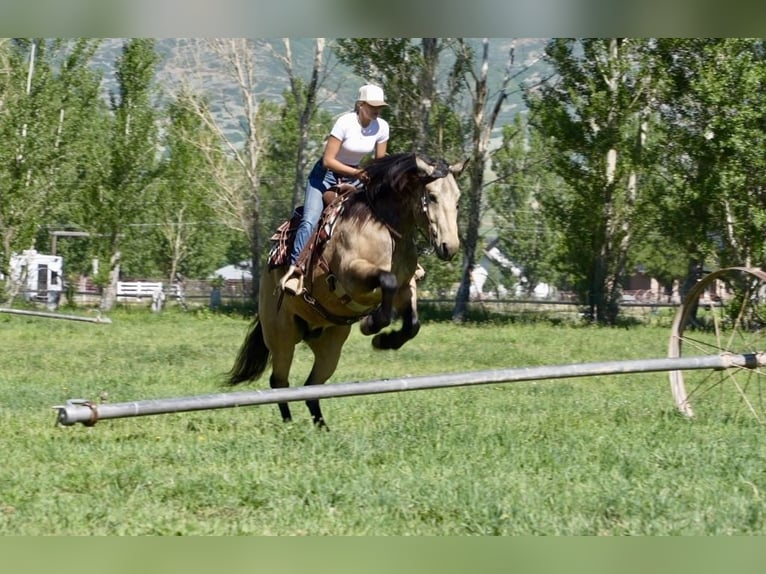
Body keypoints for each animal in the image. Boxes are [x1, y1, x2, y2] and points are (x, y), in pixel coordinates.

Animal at [226, 152, 467, 428]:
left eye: (457, 199)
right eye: (433, 196)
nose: (450, 247)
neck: (383, 227)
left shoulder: (406, 287)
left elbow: (412, 323)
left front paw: (385, 340)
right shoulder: (352, 275)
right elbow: (386, 281)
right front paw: (371, 325)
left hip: (330, 346)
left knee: (311, 388)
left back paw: (322, 428)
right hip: (282, 337)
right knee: (280, 382)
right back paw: (289, 426)